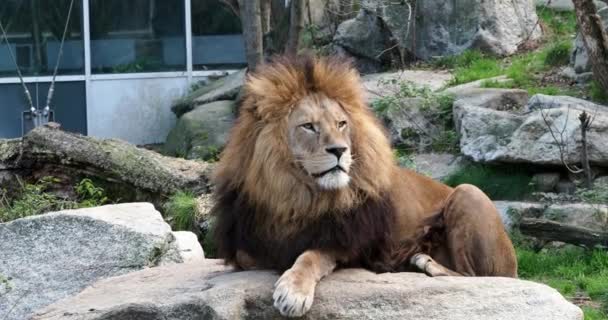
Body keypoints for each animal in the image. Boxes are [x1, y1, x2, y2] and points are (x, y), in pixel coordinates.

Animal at [211, 55, 516, 318]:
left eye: (341, 124)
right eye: (308, 126)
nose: (339, 150)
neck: (296, 194)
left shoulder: (347, 243)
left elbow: (310, 256)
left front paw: (293, 292)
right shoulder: (250, 237)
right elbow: (249, 257)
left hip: (468, 192)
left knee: (476, 278)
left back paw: (427, 264)